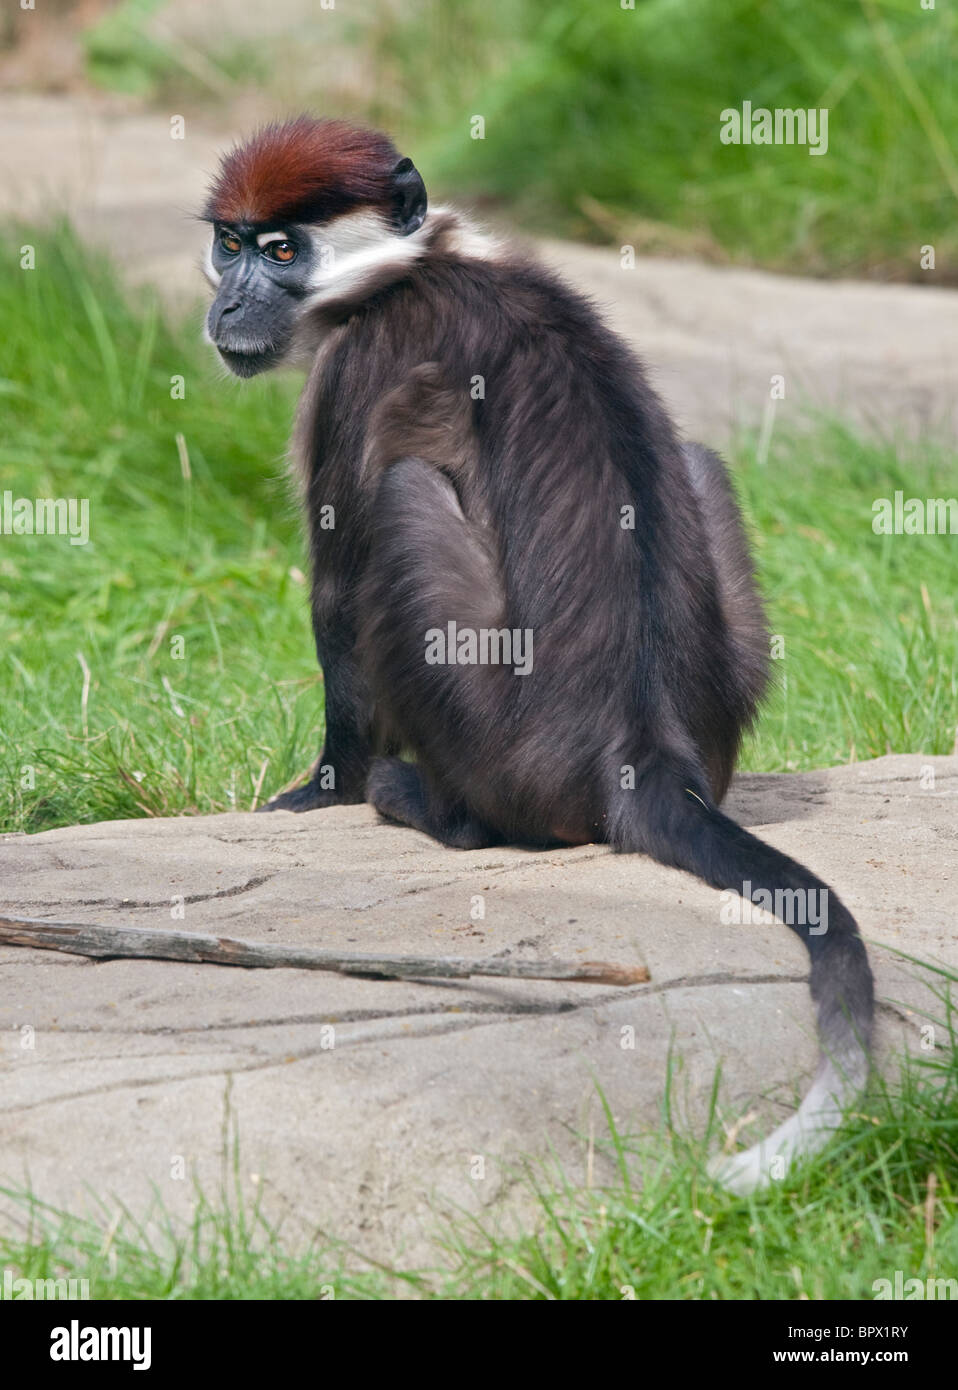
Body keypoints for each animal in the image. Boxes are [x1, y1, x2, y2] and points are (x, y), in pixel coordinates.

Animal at [201, 116, 873, 1195]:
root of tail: (644, 751)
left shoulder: (352, 368)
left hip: (490, 745)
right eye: (229, 245)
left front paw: (318, 790)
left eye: (279, 251)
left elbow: (336, 602)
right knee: (698, 458)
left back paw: (426, 805)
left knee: (400, 494)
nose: (227, 301)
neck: (411, 266)